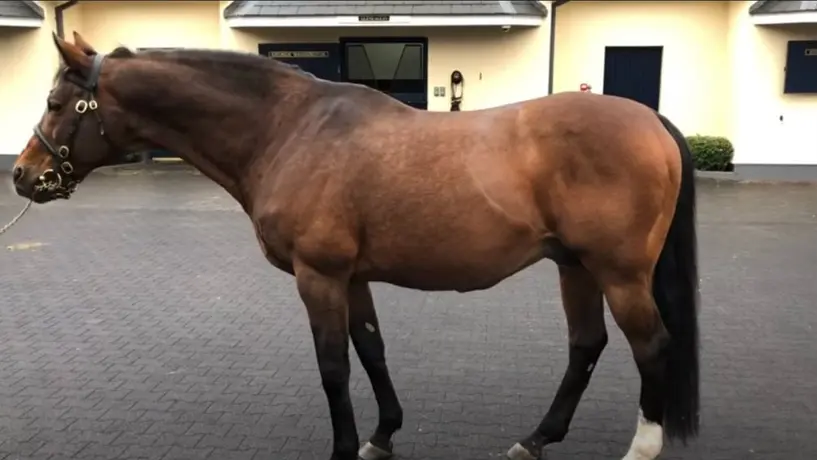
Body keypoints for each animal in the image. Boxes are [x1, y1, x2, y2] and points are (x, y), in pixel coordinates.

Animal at [11, 32, 700, 460]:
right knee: (587, 346)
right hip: (574, 266)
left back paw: (640, 446)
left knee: (652, 346)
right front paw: (382, 435)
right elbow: (371, 351)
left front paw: (345, 446)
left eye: (55, 101)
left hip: (619, 273)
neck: (288, 129)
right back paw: (535, 439)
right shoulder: (353, 277)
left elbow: (333, 366)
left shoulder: (317, 275)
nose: (22, 174)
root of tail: (651, 120)